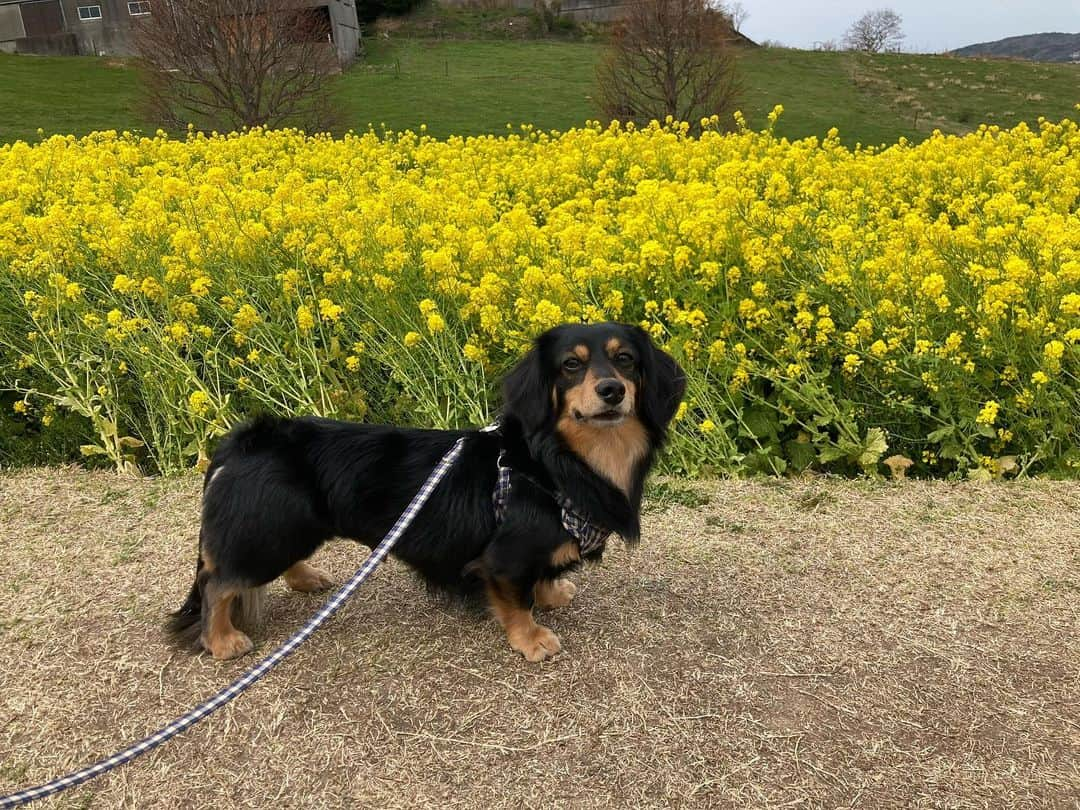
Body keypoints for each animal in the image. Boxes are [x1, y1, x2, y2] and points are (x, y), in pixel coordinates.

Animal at [172, 319, 686, 660]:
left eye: (625, 359)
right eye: (571, 365)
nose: (611, 390)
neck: (553, 463)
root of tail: (246, 438)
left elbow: (539, 579)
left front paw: (552, 592)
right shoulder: (504, 558)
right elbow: (515, 600)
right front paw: (532, 638)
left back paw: (306, 579)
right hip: (273, 532)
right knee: (218, 582)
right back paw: (222, 641)